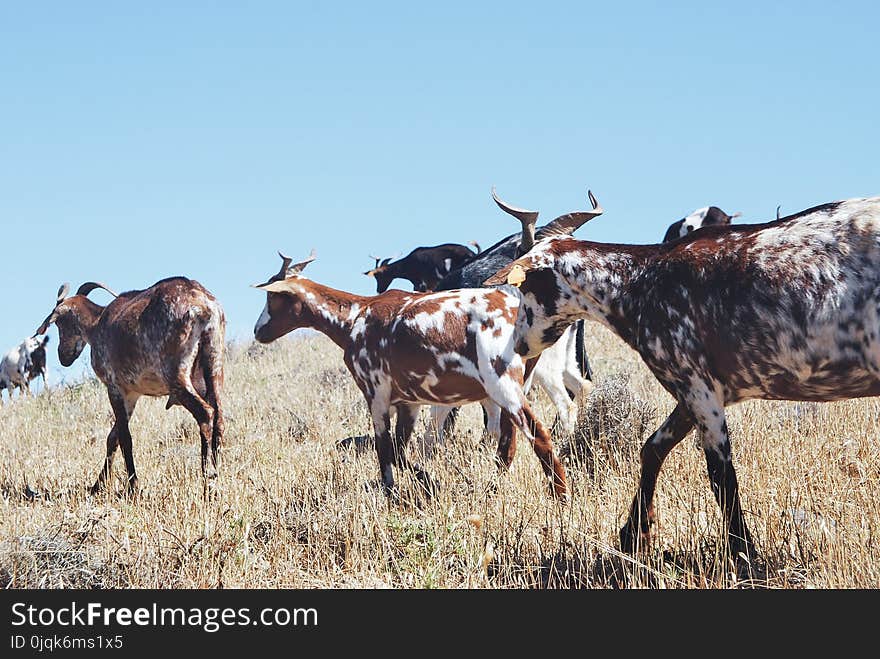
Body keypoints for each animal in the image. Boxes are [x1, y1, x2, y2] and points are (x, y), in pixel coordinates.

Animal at [35, 276, 225, 492]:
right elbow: (113, 437)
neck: (97, 324)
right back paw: (217, 474)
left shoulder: (114, 387)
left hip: (176, 374)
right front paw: (97, 485)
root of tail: (203, 306)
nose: (63, 356)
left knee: (205, 413)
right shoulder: (132, 394)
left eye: (60, 324)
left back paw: (207, 479)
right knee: (219, 417)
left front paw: (133, 485)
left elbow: (125, 437)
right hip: (215, 363)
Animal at [253, 250, 572, 498]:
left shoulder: (376, 395)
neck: (356, 317)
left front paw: (392, 492)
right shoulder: (409, 402)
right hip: (518, 386)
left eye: (272, 298)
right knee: (508, 444)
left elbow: (384, 451)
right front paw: (429, 481)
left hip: (503, 387)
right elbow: (399, 450)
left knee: (539, 436)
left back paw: (561, 498)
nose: (258, 331)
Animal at [484, 193, 880, 564]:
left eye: (525, 287)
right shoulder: (696, 392)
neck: (639, 280)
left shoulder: (697, 386)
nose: (519, 344)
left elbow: (720, 475)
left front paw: (743, 551)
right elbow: (652, 448)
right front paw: (634, 533)